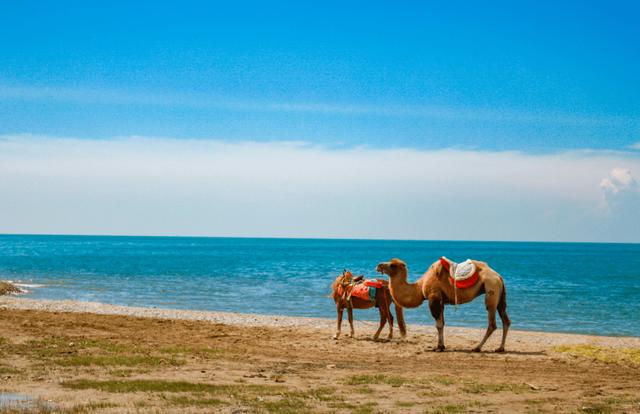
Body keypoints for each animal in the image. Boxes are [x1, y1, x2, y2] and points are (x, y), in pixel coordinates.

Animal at [376, 258, 510, 352]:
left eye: (392, 265)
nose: (379, 265)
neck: (420, 286)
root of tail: (499, 276)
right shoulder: (440, 301)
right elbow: (442, 323)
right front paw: (442, 345)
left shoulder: (433, 297)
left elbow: (438, 324)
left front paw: (438, 347)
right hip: (500, 293)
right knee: (505, 319)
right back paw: (500, 348)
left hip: (491, 288)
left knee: (492, 322)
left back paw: (477, 347)